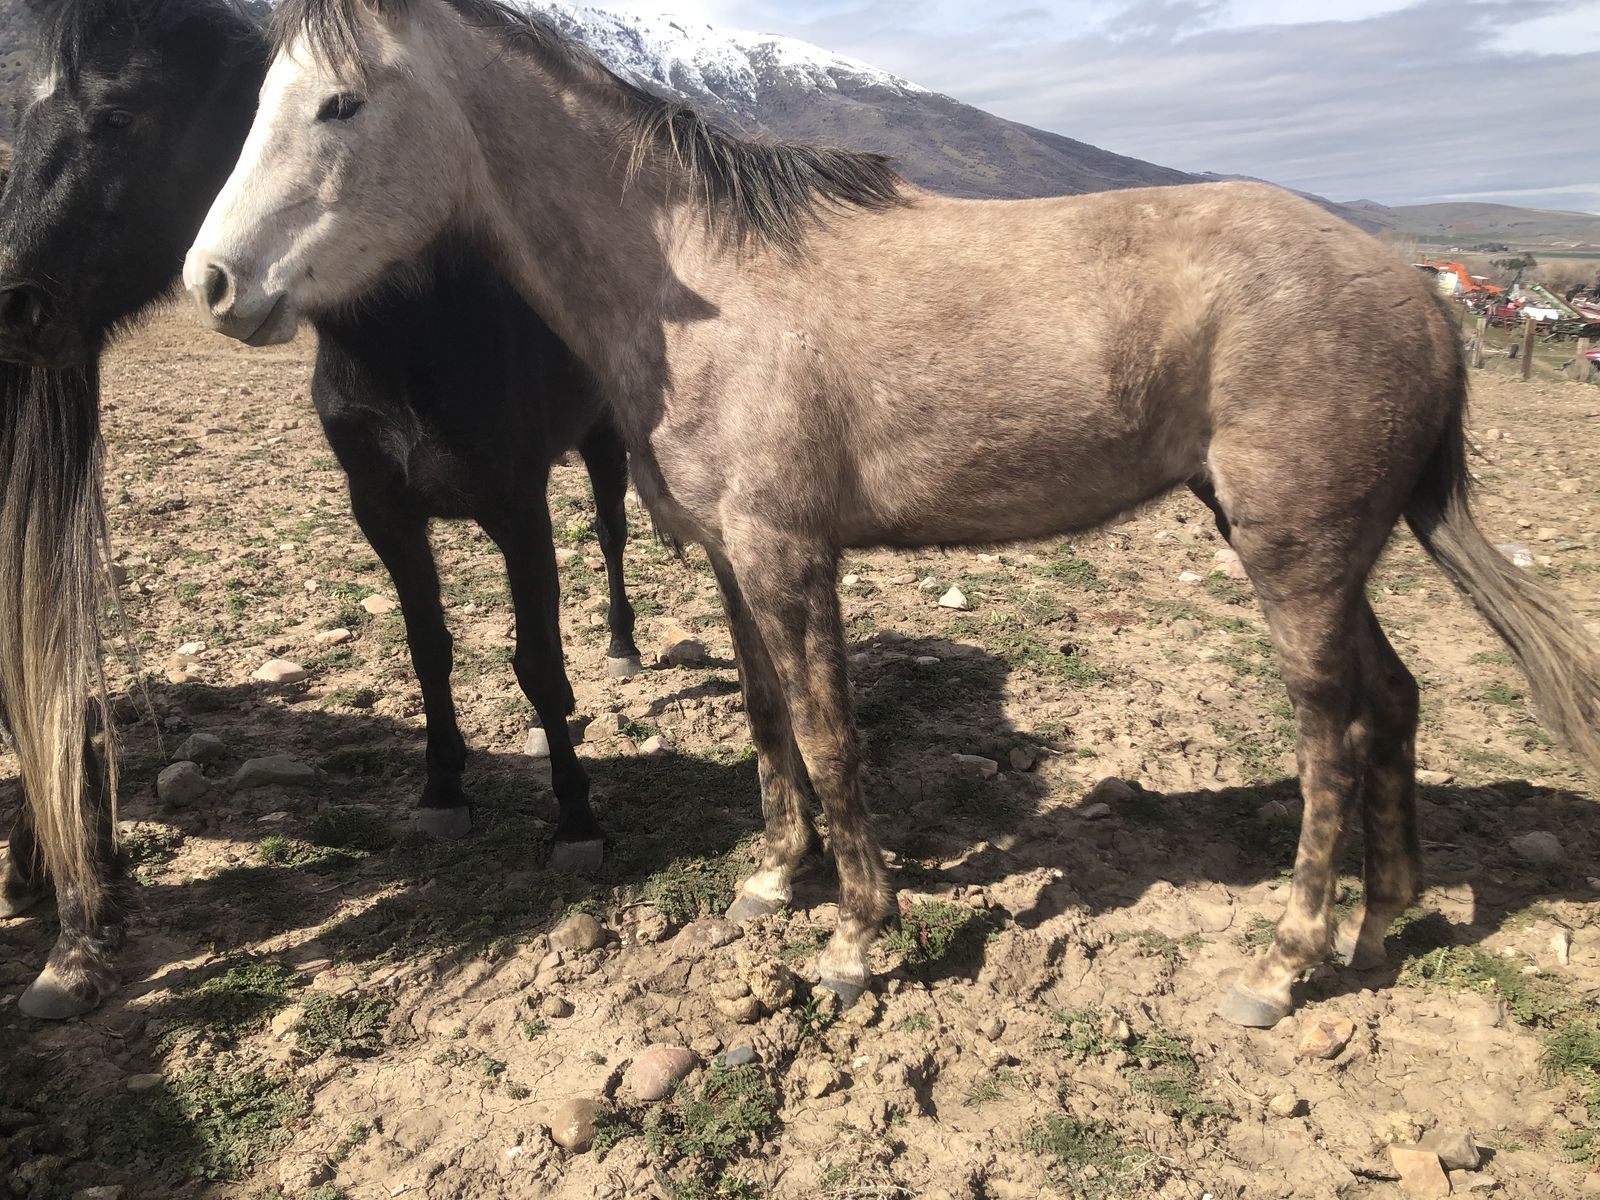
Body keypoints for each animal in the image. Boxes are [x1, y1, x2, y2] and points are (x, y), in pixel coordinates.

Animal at [0, 0, 641, 1019]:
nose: (11, 302)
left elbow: (538, 663)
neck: (414, 331)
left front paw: (576, 816)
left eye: (118, 116)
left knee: (614, 538)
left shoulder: (517, 508)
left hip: (604, 441)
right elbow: (428, 654)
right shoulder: (383, 513)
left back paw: (623, 644)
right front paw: (443, 793)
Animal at [184, 0, 1600, 1026]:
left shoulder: (789, 556)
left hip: (1292, 556)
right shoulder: (729, 560)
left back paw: (1287, 956)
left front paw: (862, 938)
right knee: (1394, 699)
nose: (211, 283)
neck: (696, 278)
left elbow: (830, 734)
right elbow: (767, 720)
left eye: (340, 102)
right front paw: (777, 877)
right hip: (1327, 549)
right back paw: (1386, 915)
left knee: (1331, 729)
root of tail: (1420, 298)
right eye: (252, 102)